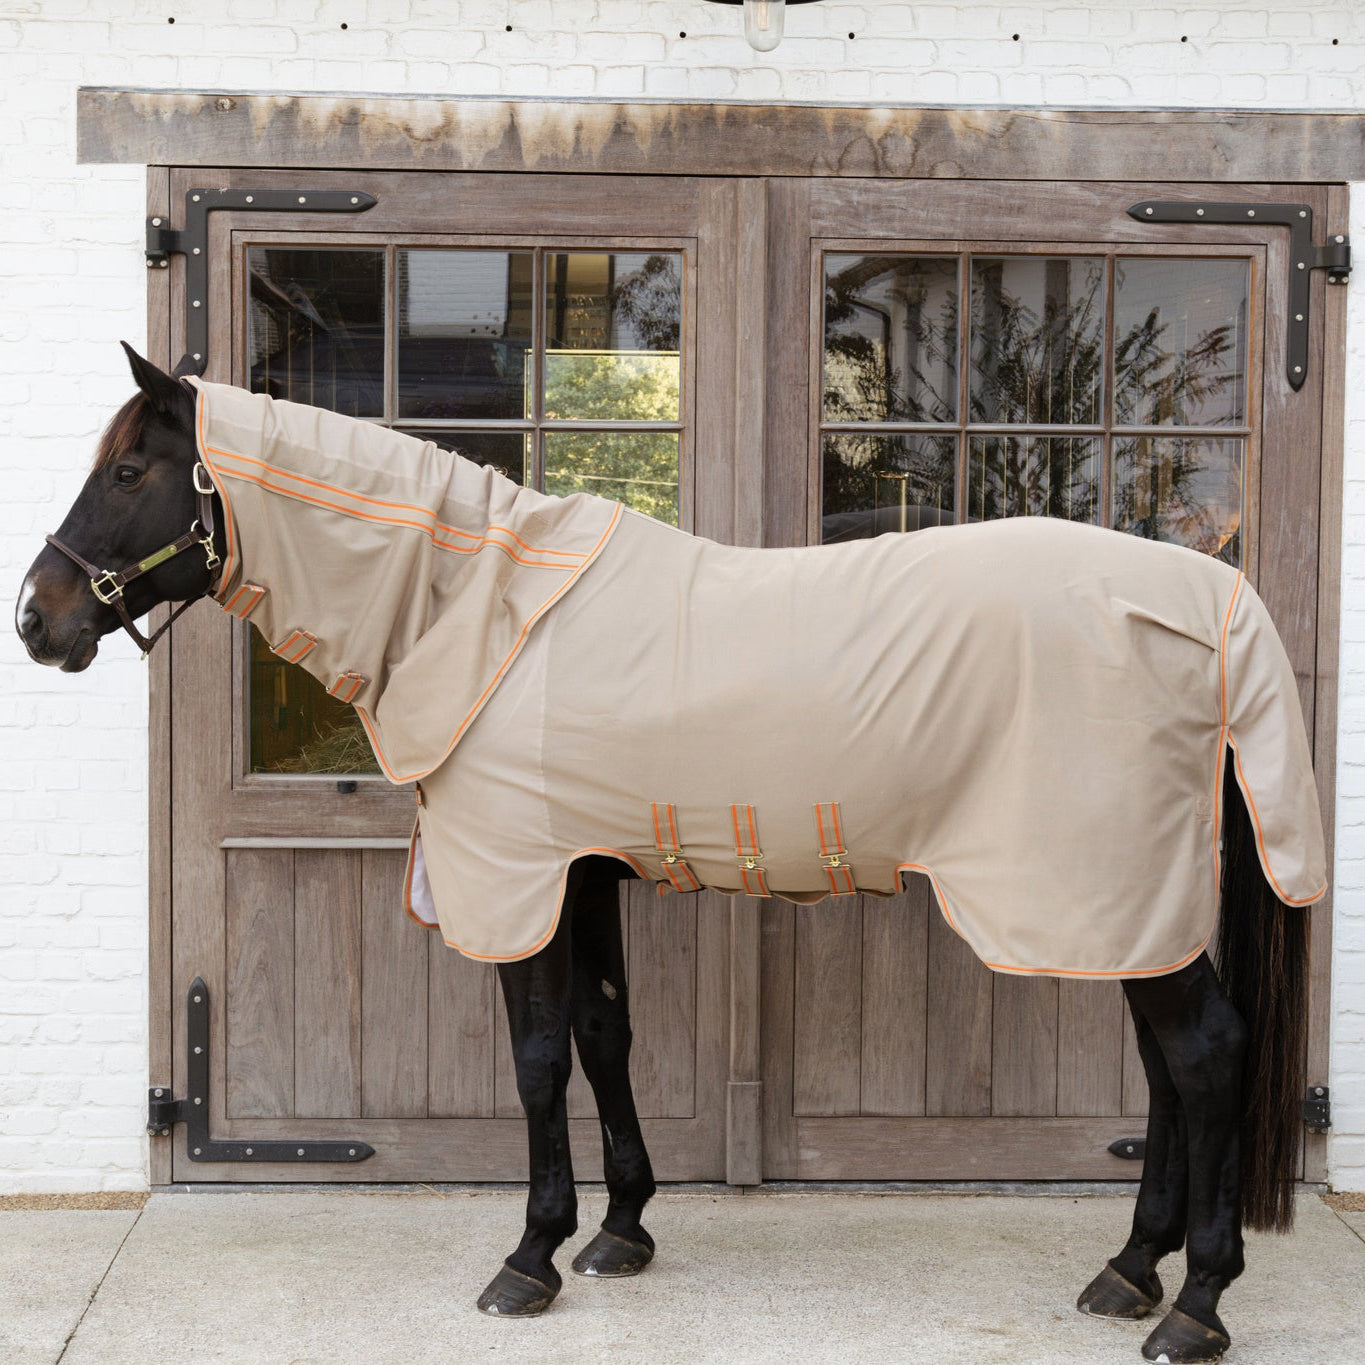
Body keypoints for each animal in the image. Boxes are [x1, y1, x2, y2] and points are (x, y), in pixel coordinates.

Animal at [16, 346, 1326, 1359]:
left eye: (128, 471)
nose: (37, 618)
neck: (480, 611)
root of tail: (1208, 600)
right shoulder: (584, 872)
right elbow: (606, 1032)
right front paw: (621, 1230)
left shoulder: (526, 880)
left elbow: (539, 1057)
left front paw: (531, 1256)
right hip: (1126, 901)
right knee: (1167, 1071)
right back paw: (1131, 1270)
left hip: (1102, 890)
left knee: (1205, 1055)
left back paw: (1196, 1305)